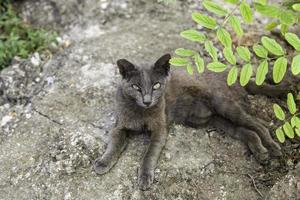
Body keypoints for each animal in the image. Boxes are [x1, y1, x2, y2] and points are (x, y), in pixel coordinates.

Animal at [94, 53, 284, 191]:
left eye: (156, 86)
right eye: (136, 87)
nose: (147, 101)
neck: (141, 112)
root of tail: (234, 76)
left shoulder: (160, 128)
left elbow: (150, 153)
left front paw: (145, 177)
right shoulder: (120, 126)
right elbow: (114, 144)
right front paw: (103, 163)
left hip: (225, 105)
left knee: (258, 124)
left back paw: (272, 148)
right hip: (215, 120)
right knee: (246, 131)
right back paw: (261, 153)